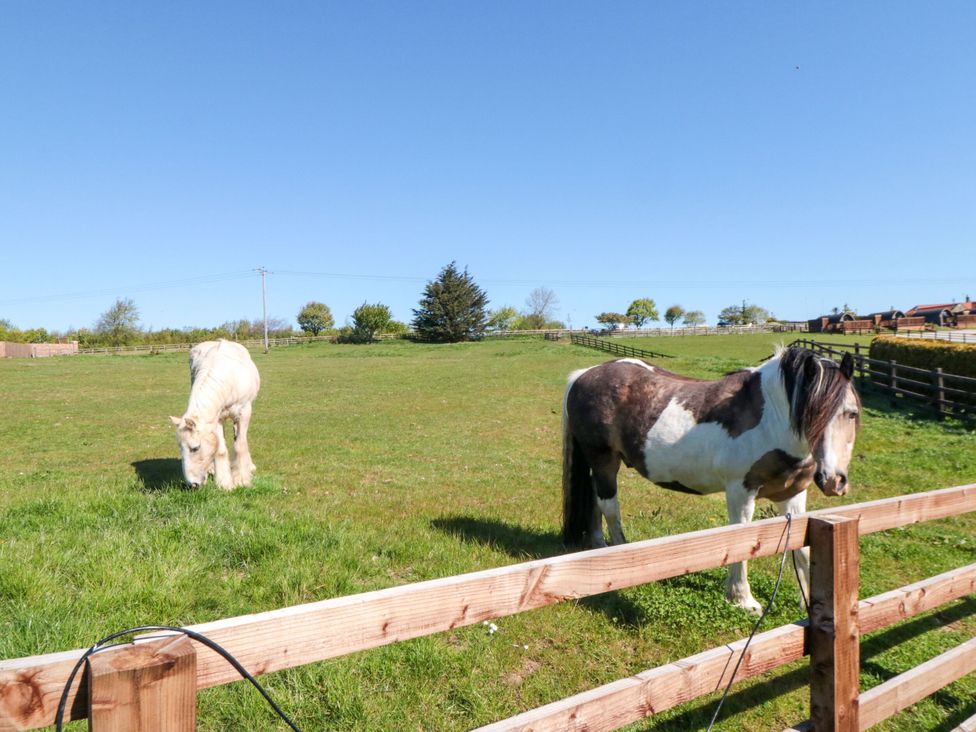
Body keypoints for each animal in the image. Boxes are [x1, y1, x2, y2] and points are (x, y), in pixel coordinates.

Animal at [169, 339, 260, 490]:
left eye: (195, 448)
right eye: (180, 448)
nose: (193, 484)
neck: (230, 378)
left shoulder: (244, 413)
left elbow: (240, 445)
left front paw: (241, 480)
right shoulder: (217, 419)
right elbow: (220, 450)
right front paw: (225, 484)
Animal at [562, 345, 860, 613]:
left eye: (852, 413)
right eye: (811, 414)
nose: (834, 481)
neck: (770, 419)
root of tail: (583, 375)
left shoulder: (793, 494)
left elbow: (802, 549)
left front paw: (807, 601)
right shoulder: (741, 491)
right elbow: (742, 542)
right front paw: (743, 600)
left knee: (596, 502)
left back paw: (598, 546)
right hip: (604, 459)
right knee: (610, 507)